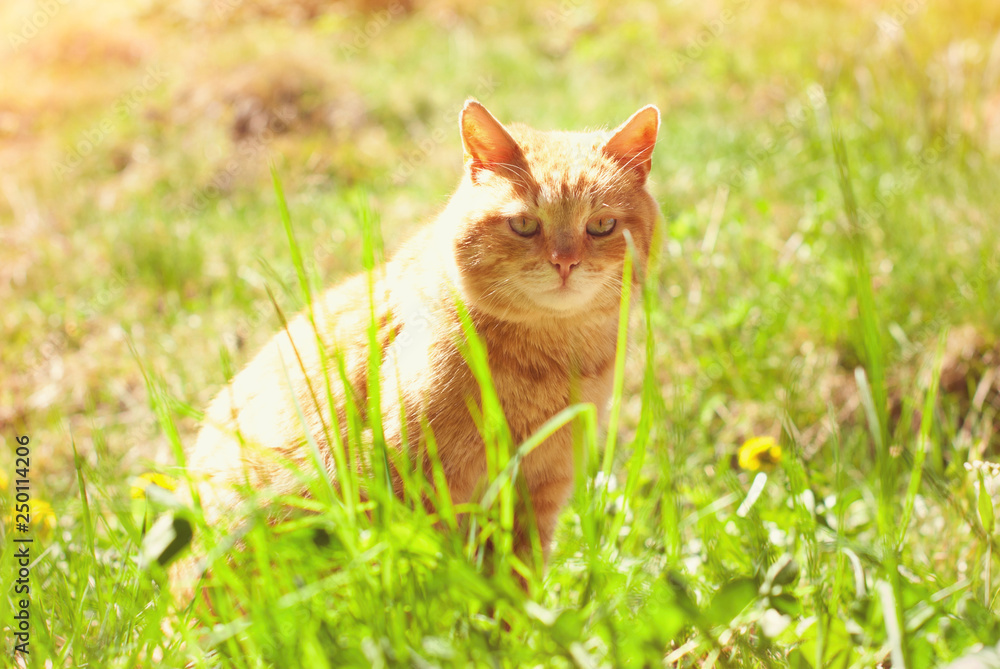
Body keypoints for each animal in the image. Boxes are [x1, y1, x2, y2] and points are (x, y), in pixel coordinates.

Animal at [174, 103, 656, 596]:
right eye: (524, 224)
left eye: (601, 225)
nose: (565, 263)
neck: (546, 362)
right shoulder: (414, 483)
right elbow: (424, 586)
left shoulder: (535, 496)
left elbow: (512, 591)